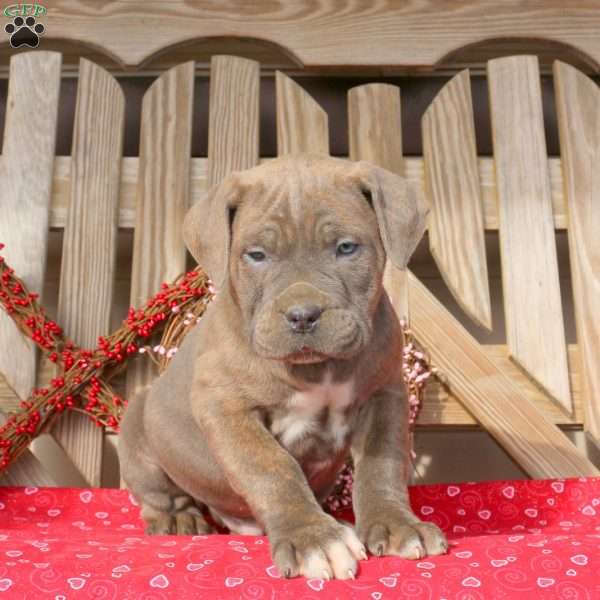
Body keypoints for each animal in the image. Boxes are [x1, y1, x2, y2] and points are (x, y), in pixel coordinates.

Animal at [118, 152, 446, 580]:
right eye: (257, 255)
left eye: (346, 248)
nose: (303, 314)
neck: (317, 369)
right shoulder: (226, 408)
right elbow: (273, 469)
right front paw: (314, 540)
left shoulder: (384, 393)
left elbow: (381, 465)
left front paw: (396, 525)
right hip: (140, 424)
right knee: (160, 492)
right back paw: (178, 519)